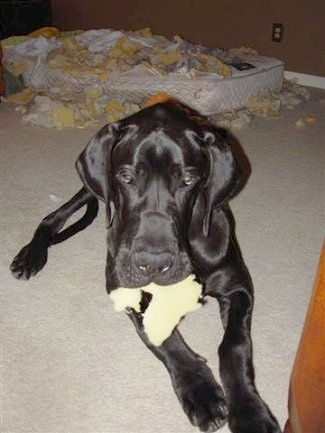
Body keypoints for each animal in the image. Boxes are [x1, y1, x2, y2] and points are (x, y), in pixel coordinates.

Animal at [10, 100, 280, 432]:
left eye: (188, 180)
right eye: (127, 177)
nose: (153, 263)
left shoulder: (238, 287)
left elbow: (234, 345)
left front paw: (250, 412)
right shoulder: (125, 288)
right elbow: (164, 338)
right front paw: (200, 392)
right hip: (91, 188)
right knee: (54, 217)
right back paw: (31, 255)